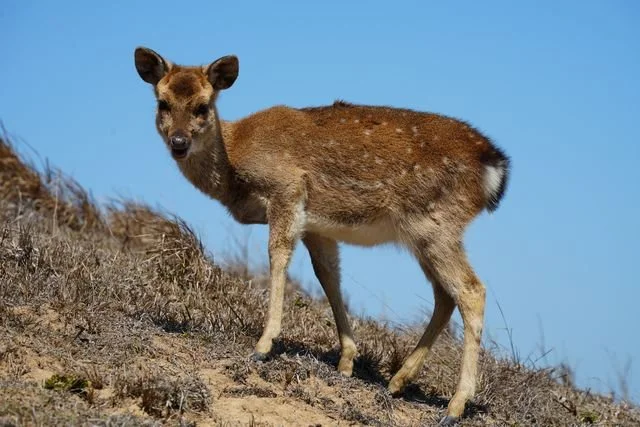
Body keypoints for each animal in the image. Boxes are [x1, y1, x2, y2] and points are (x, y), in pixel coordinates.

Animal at [134, 47, 510, 425]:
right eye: (162, 102)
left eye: (203, 105)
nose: (179, 142)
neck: (235, 164)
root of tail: (495, 166)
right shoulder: (316, 225)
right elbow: (328, 276)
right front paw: (346, 361)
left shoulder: (287, 189)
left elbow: (277, 257)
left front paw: (263, 345)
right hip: (424, 234)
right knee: (445, 295)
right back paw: (397, 381)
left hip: (435, 225)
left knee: (471, 290)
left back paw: (454, 406)